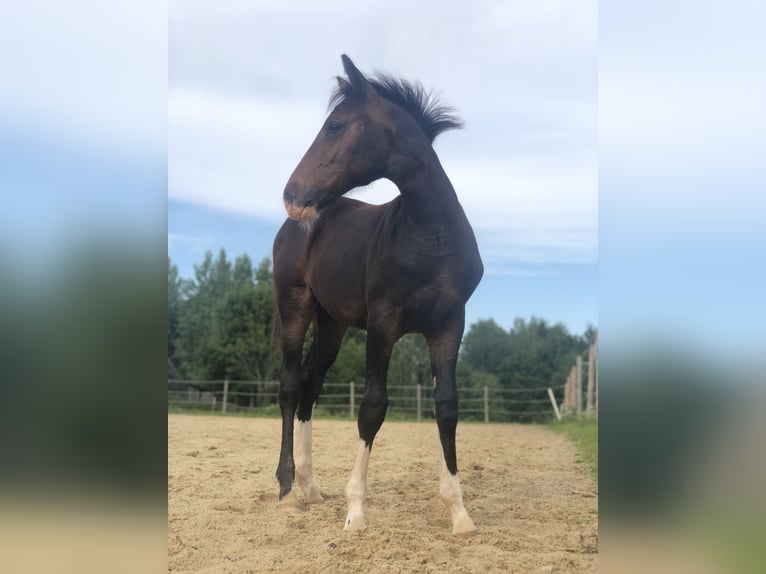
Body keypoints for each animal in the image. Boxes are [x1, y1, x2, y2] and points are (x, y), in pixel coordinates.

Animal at [272, 56, 484, 536]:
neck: (431, 237)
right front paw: (356, 511)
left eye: (334, 125)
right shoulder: (384, 324)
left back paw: (312, 488)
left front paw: (459, 513)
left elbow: (447, 406)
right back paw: (289, 489)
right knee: (290, 385)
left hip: (332, 324)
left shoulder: (449, 325)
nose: (292, 194)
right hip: (294, 306)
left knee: (310, 384)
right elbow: (372, 406)